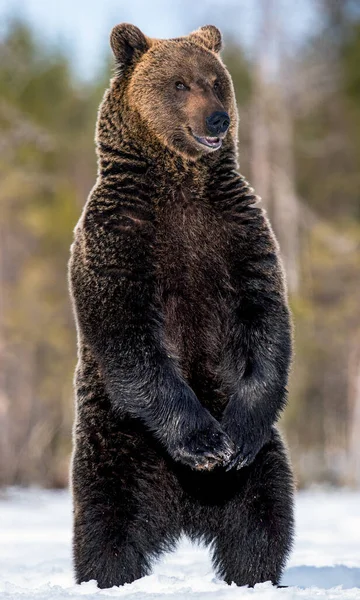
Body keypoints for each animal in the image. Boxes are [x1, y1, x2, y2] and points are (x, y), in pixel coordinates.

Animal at [69, 22, 294, 592]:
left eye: (216, 81)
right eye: (179, 84)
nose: (217, 118)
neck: (180, 183)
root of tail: (185, 513)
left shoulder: (237, 231)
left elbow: (265, 318)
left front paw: (231, 441)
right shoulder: (121, 235)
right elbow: (126, 328)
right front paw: (205, 442)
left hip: (261, 463)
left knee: (263, 518)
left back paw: (256, 577)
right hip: (117, 444)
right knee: (106, 522)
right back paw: (110, 576)